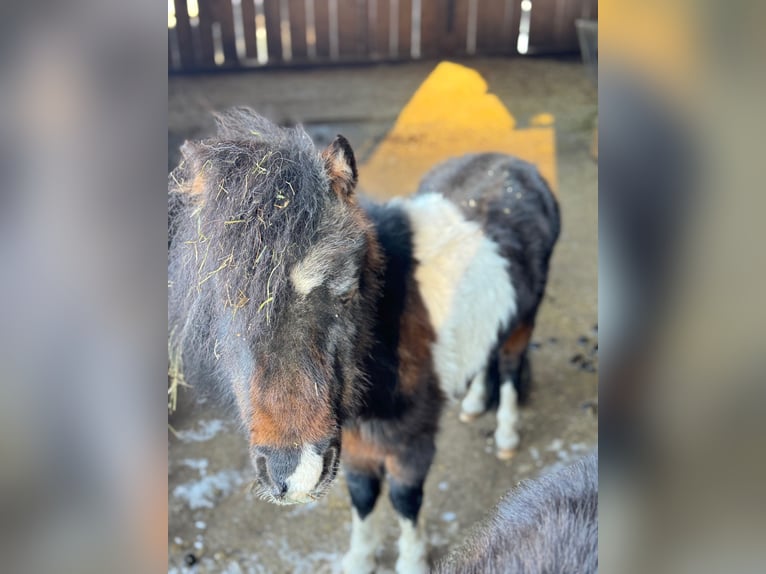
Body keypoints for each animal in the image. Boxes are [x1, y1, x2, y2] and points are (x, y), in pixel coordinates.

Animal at [168, 108, 560, 573]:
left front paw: (412, 560)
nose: (293, 473)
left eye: (347, 288)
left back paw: (506, 437)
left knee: (510, 366)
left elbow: (405, 499)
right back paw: (475, 404)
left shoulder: (410, 441)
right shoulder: (350, 442)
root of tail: (516, 164)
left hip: (526, 318)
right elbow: (362, 495)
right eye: (221, 299)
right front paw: (359, 557)